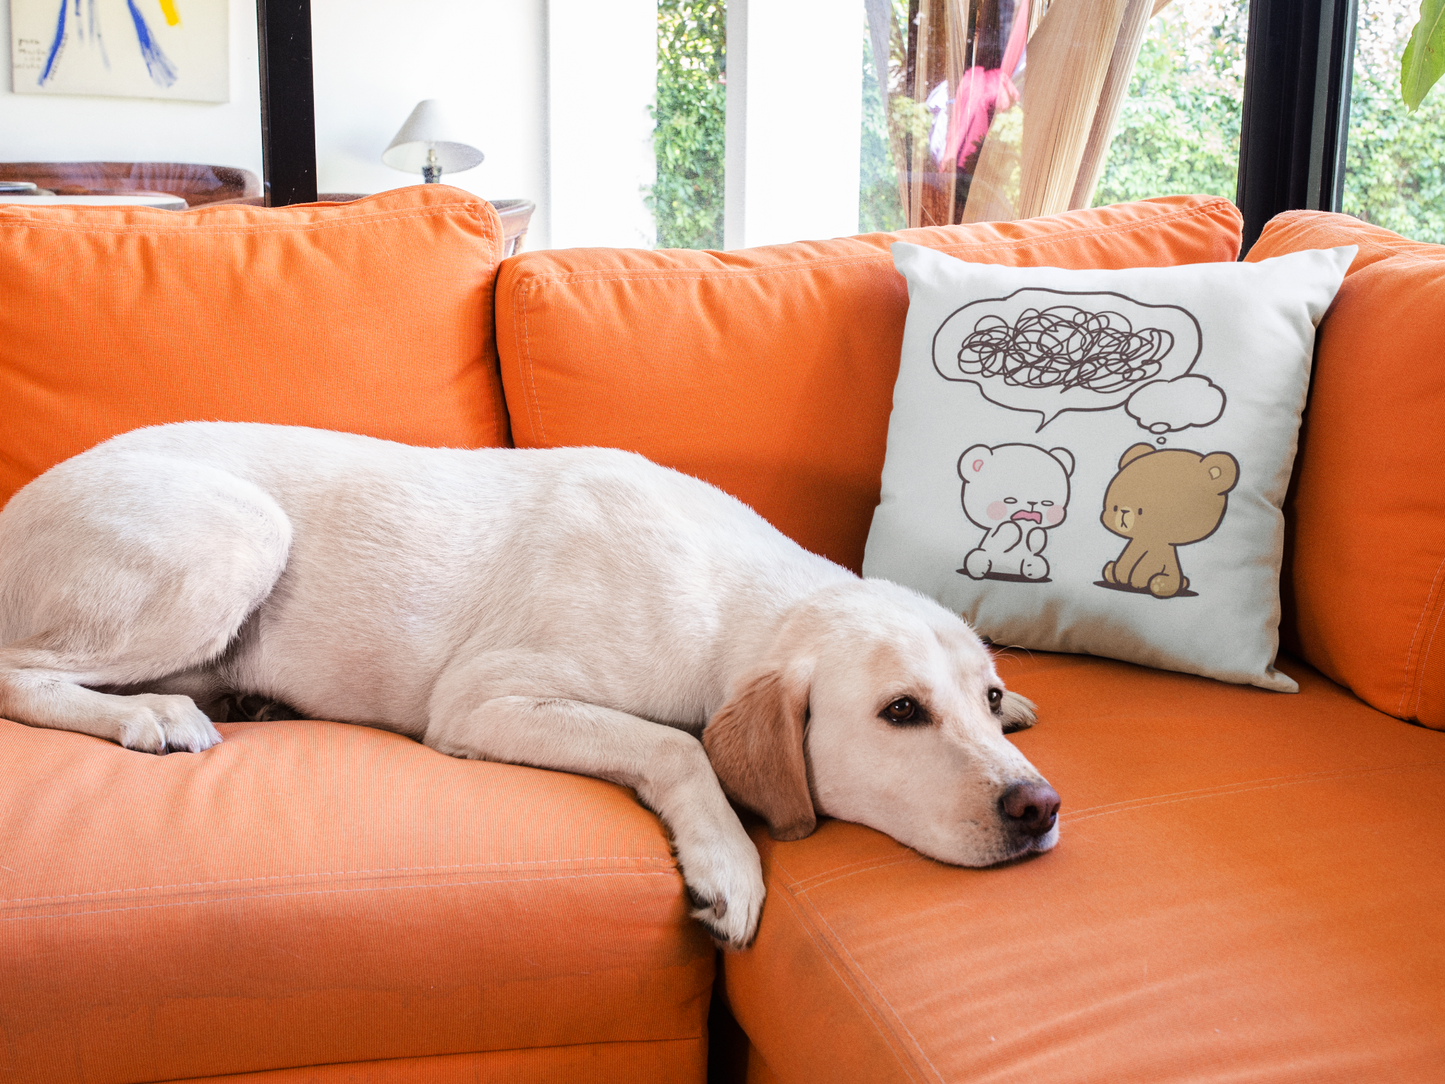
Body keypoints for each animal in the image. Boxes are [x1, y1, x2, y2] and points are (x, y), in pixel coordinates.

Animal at [957, 443, 1074, 582]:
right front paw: (1011, 529)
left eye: (1047, 503)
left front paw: (1036, 534)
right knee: (978, 557)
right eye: (1010, 500)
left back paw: (1031, 568)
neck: (1023, 528)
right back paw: (980, 569)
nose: (1032, 502)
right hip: (982, 555)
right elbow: (1006, 530)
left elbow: (1037, 535)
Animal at [1099, 443, 1240, 599]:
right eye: (1115, 507)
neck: (1148, 538)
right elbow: (1127, 559)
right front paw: (1121, 576)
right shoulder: (1137, 543)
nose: (1124, 511)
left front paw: (1137, 582)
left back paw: (1159, 584)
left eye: (1141, 510)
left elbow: (1146, 564)